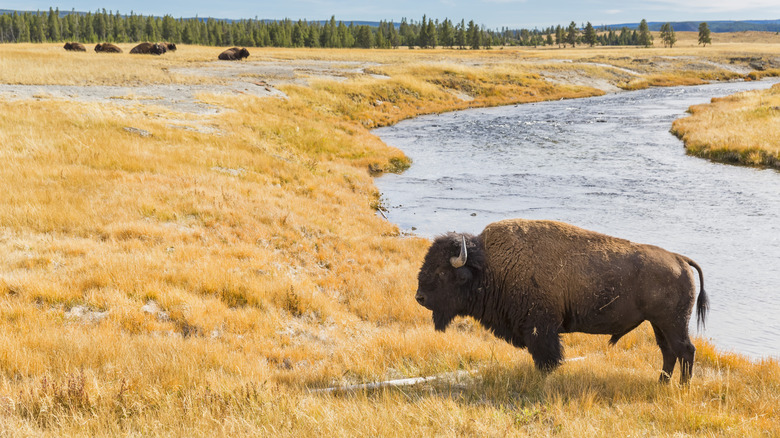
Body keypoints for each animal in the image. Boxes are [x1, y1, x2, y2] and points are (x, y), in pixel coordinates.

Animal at [415, 219, 708, 384]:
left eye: (442, 272)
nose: (419, 297)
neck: (491, 265)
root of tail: (680, 259)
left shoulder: (540, 329)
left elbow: (547, 358)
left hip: (672, 323)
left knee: (685, 350)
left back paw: (682, 387)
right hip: (658, 324)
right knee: (668, 352)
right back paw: (662, 383)